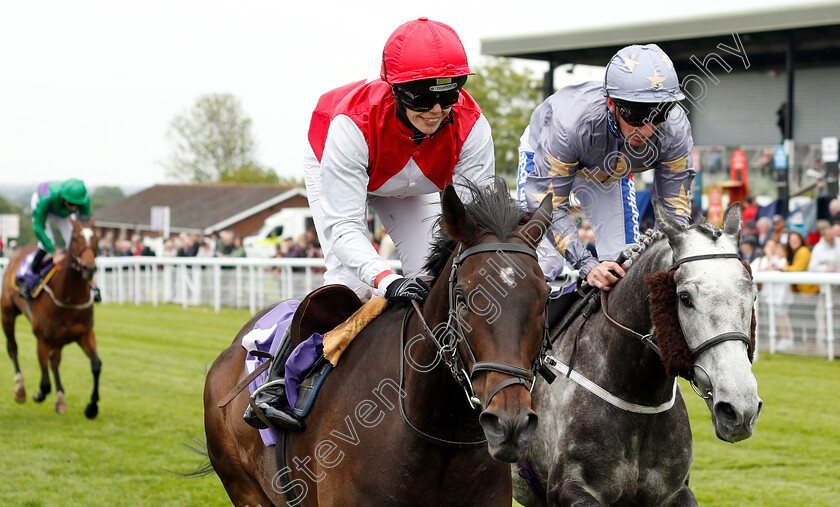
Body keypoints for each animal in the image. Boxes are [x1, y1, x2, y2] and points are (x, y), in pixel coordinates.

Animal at [0, 216, 101, 418]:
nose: (89, 268)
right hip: (7, 314)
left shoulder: (84, 333)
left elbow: (96, 364)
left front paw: (92, 407)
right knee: (13, 348)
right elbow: (45, 384)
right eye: (75, 238)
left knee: (55, 362)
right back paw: (20, 389)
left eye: (96, 238)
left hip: (60, 338)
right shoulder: (43, 338)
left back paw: (60, 398)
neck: (69, 295)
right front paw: (37, 394)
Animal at [512, 203, 760, 507]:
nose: (740, 409)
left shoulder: (675, 491)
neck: (636, 394)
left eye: (753, 296)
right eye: (685, 298)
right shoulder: (568, 488)